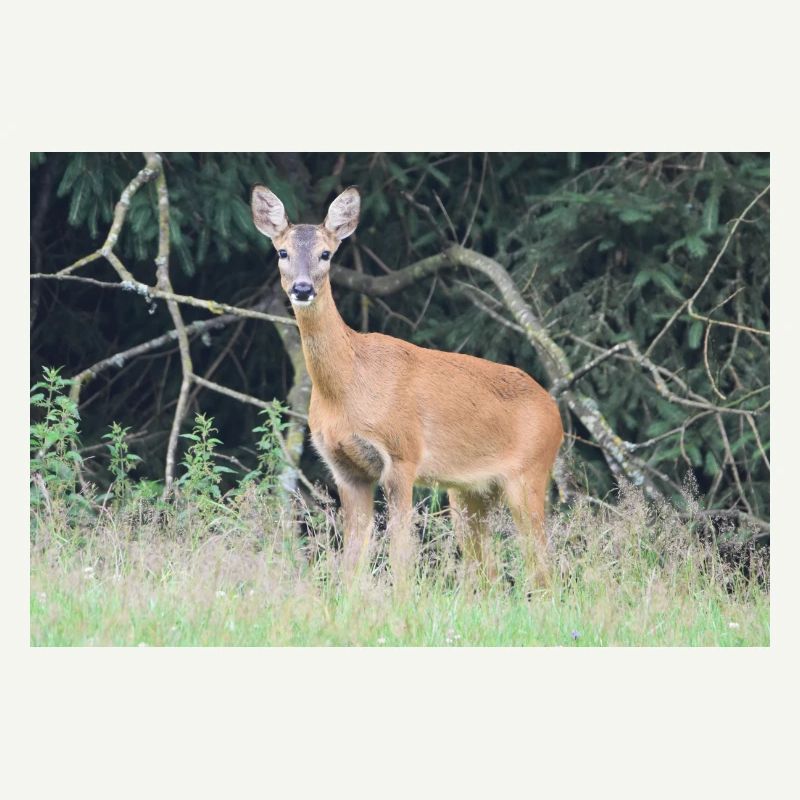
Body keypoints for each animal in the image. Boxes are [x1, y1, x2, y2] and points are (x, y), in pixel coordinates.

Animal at [251, 185, 563, 587]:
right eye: (282, 252)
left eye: (325, 253)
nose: (302, 288)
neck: (348, 390)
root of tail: (555, 412)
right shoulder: (345, 469)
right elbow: (352, 559)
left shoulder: (402, 454)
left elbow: (402, 554)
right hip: (468, 492)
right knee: (488, 571)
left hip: (529, 473)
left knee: (541, 566)